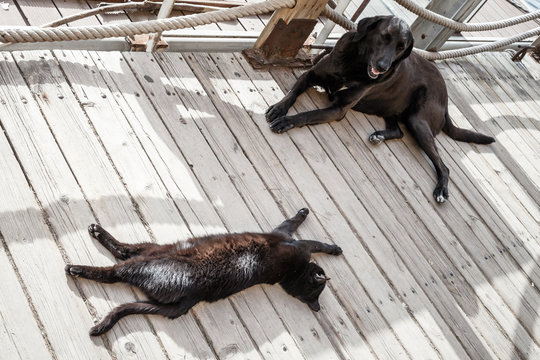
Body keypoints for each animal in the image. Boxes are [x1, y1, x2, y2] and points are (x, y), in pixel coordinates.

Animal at [66, 207, 342, 336]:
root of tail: (192, 297)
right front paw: (335, 246)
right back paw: (97, 232)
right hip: (155, 248)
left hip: (147, 260)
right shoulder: (286, 237)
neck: (291, 274)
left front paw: (333, 247)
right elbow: (301, 228)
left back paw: (77, 267)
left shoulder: (291, 239)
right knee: (123, 250)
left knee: (114, 271)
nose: (316, 306)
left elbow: (312, 239)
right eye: (309, 297)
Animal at [266, 15, 494, 202]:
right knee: (398, 131)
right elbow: (293, 93)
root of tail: (446, 99)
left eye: (402, 47)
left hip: (417, 120)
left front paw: (286, 121)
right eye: (385, 37)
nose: (384, 66)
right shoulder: (311, 74)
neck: (356, 63)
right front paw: (278, 109)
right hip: (392, 109)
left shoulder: (338, 110)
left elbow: (307, 114)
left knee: (444, 166)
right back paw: (379, 136)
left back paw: (440, 191)